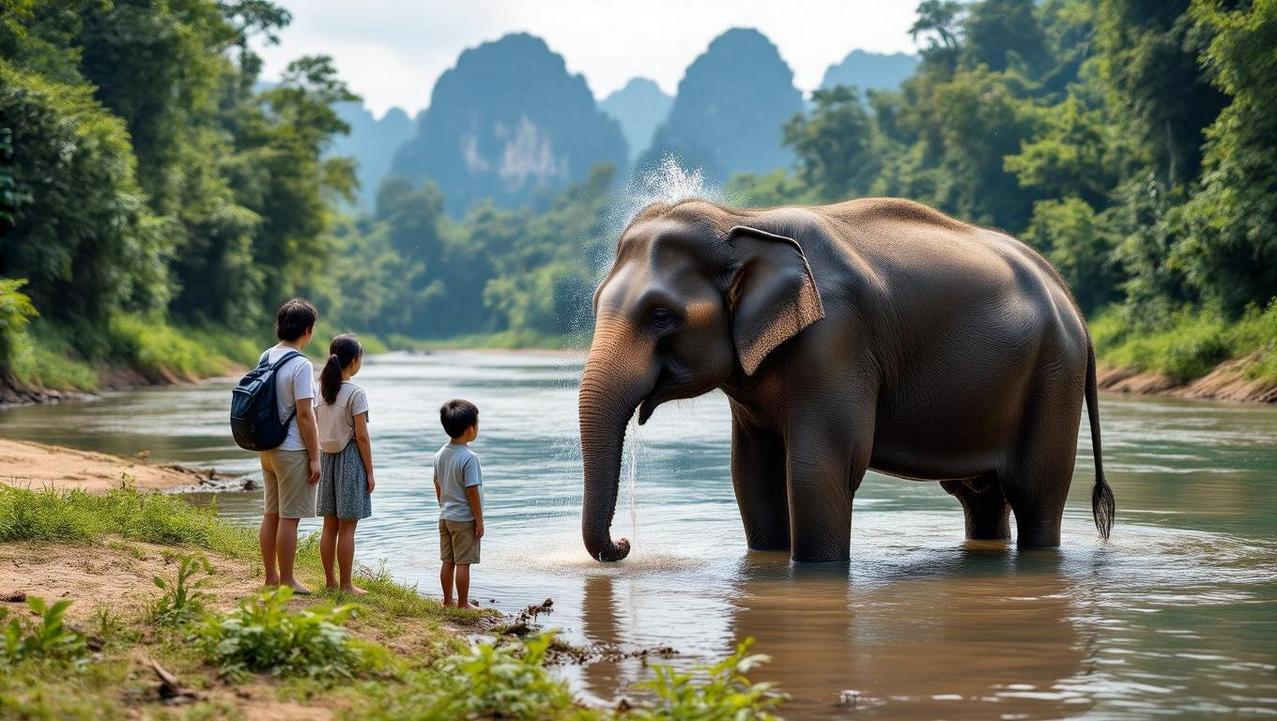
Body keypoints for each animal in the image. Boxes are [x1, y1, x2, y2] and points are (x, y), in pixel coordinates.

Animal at [579, 197, 1116, 563]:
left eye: (661, 316)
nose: (625, 543)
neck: (743, 219)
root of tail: (1073, 304)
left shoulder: (836, 340)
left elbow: (820, 468)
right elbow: (753, 474)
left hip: (1054, 376)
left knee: (1036, 492)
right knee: (981, 496)